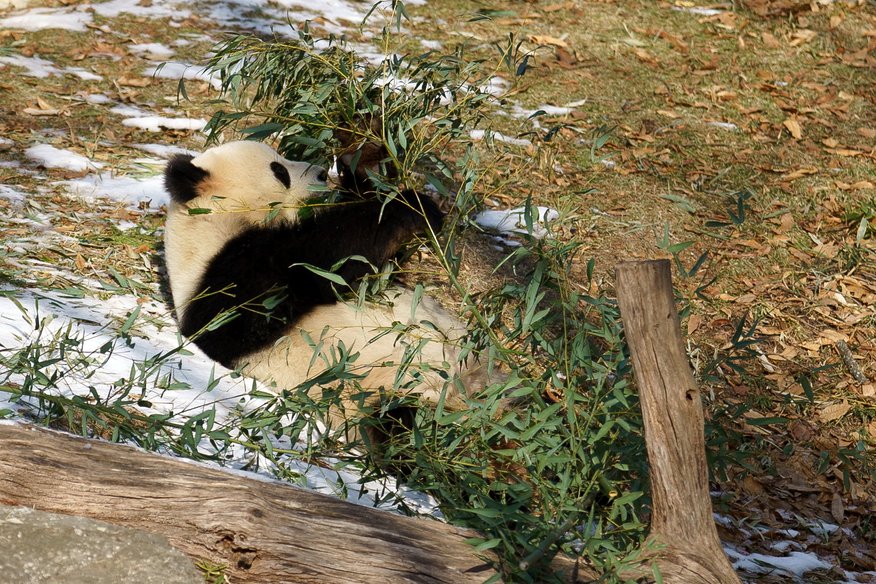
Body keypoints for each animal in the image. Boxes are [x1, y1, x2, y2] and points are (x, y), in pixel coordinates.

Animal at [163, 139, 486, 436]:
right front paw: (413, 206)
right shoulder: (229, 280)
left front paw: (362, 161)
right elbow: (320, 256)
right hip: (383, 392)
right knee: (403, 425)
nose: (320, 173)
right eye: (279, 171)